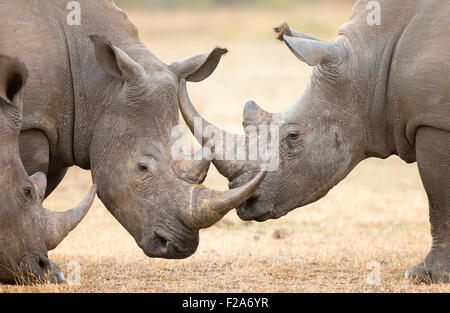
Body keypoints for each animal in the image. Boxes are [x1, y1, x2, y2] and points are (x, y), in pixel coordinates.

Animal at [179, 0, 450, 282]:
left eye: (292, 136)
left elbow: (439, 199)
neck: (370, 63)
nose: (246, 203)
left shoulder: (433, 122)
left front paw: (426, 275)